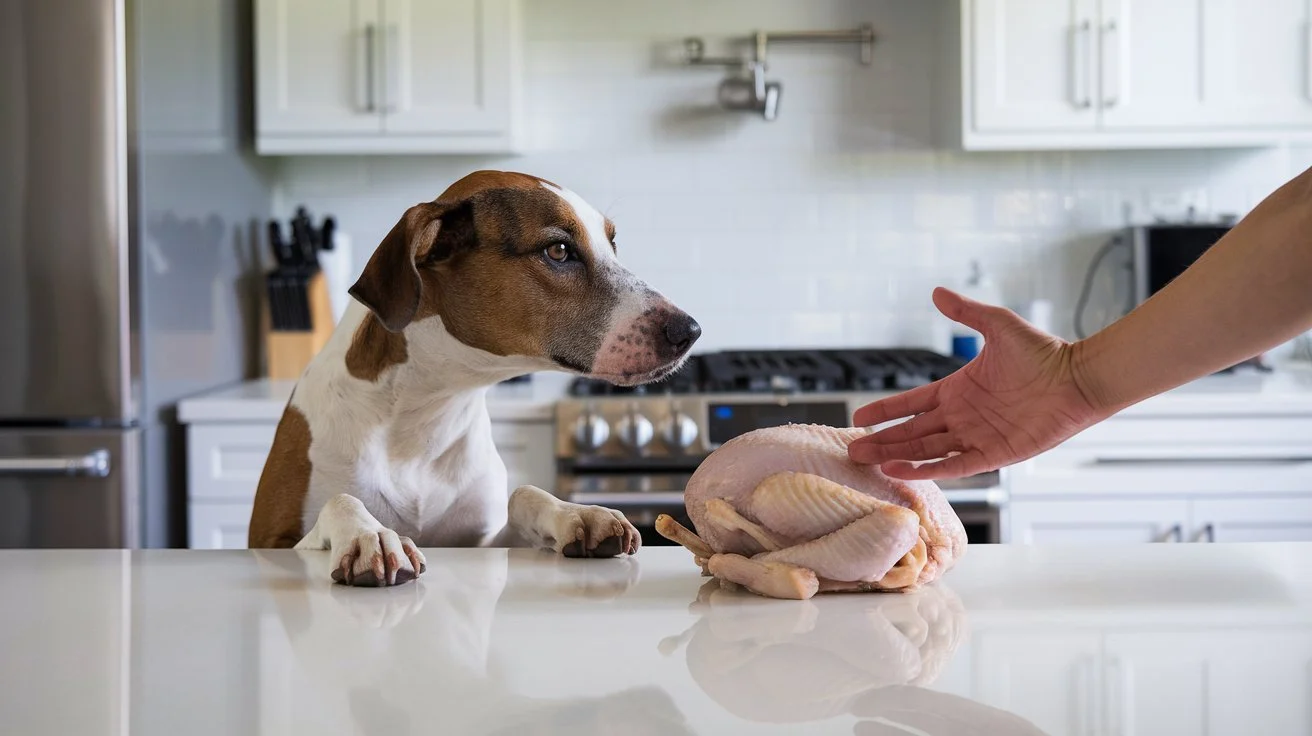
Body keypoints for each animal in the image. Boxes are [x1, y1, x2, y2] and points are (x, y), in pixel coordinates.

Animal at [244, 170, 697, 585]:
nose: (690, 331)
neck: (426, 407)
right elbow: (340, 500)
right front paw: (368, 535)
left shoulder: (480, 543)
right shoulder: (270, 541)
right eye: (558, 250)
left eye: (613, 244)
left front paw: (576, 513)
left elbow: (524, 493)